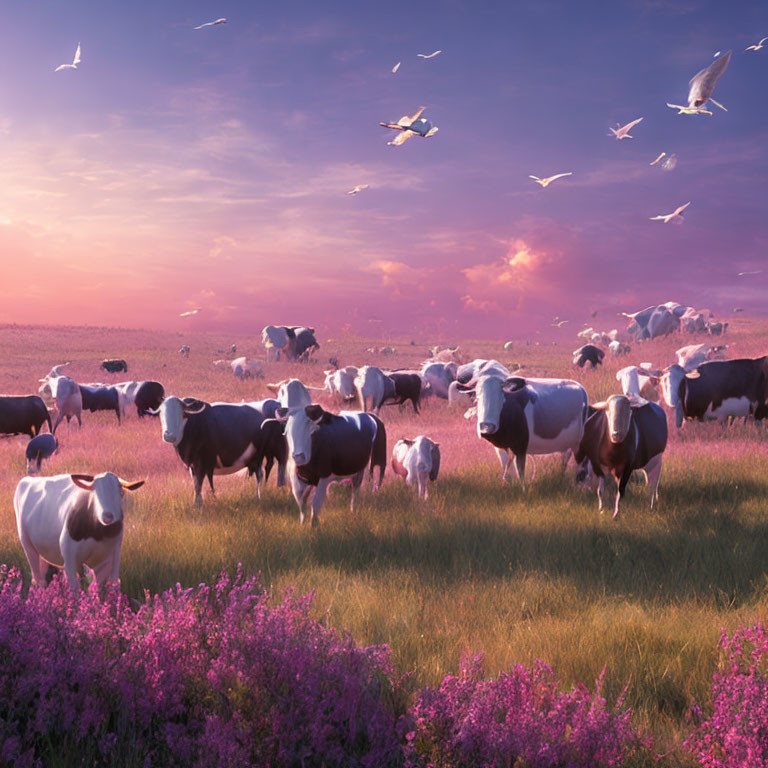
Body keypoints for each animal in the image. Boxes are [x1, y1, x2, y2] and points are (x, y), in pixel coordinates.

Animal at [14, 472, 145, 592]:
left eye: (121, 493)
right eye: (95, 493)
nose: (108, 516)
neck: (97, 534)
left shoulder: (110, 559)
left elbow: (101, 589)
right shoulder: (69, 557)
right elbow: (76, 590)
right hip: (27, 545)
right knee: (37, 577)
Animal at [154, 396, 286, 510]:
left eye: (181, 413)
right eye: (161, 413)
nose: (168, 435)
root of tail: (275, 404)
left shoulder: (201, 462)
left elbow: (199, 484)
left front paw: (198, 506)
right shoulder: (193, 465)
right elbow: (196, 484)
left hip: (277, 451)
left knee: (278, 470)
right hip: (259, 456)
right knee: (262, 473)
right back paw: (260, 496)